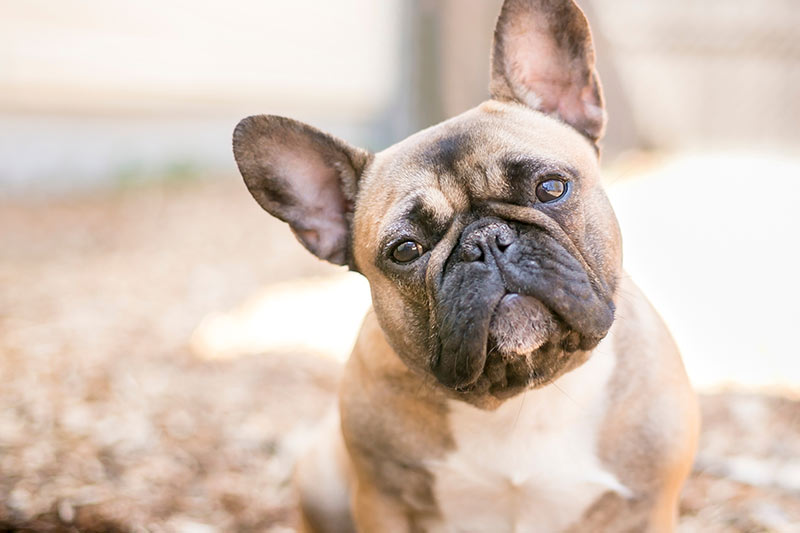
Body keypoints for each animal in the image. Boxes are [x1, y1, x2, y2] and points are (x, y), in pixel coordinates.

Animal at [233, 1, 700, 528]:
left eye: (551, 188)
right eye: (406, 250)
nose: (486, 241)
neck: (524, 395)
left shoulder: (647, 506)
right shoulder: (382, 502)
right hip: (321, 478)